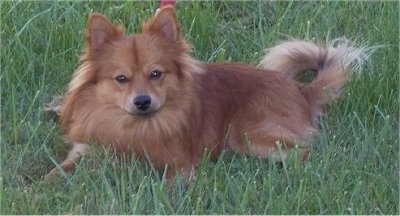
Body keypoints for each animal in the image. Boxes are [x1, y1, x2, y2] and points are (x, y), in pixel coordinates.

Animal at [44, 5, 368, 180]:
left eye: (156, 74)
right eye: (121, 79)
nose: (142, 101)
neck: (134, 127)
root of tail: (301, 90)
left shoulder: (180, 164)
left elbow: (172, 183)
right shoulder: (87, 148)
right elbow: (59, 170)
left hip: (248, 134)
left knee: (303, 152)